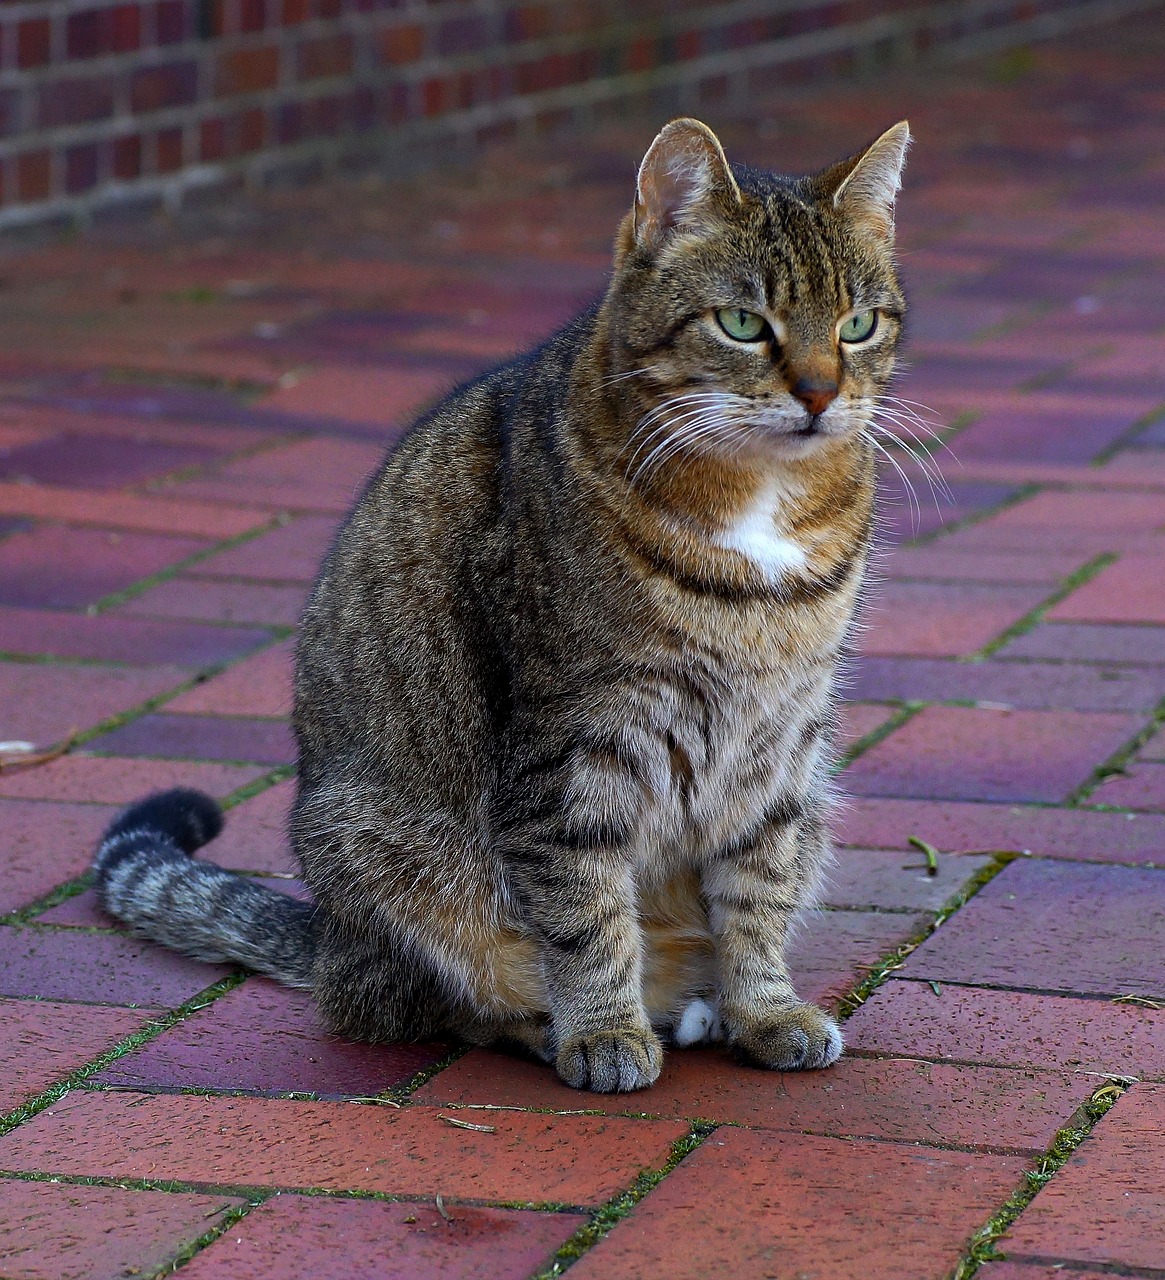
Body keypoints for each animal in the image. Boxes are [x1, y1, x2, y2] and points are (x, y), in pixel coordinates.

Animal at [90, 120, 911, 1095]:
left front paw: (765, 1009)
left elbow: (759, 890)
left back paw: (700, 1007)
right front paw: (603, 1030)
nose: (821, 395)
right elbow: (585, 911)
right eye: (743, 323)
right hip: (383, 853)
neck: (758, 508)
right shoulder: (570, 744)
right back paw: (565, 1026)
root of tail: (329, 940)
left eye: (856, 326)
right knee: (441, 1003)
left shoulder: (780, 747)